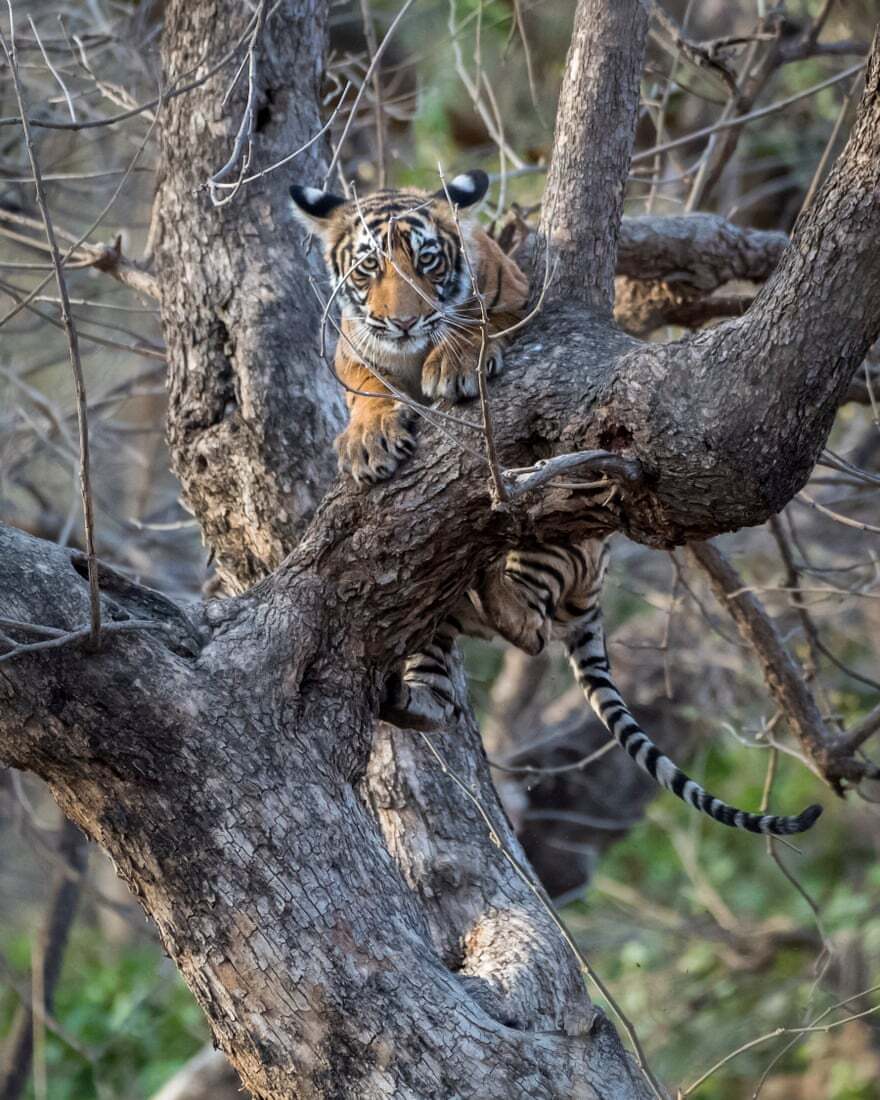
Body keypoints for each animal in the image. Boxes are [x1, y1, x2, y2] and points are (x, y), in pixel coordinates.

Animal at [288, 166, 525, 481]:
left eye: (426, 259)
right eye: (369, 264)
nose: (404, 322)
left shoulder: (516, 294)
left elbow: (478, 321)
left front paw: (452, 363)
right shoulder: (350, 353)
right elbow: (368, 385)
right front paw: (367, 438)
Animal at [380, 536, 822, 836]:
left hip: (548, 543)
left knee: (531, 630)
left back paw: (487, 580)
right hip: (441, 624)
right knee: (444, 698)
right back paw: (398, 698)